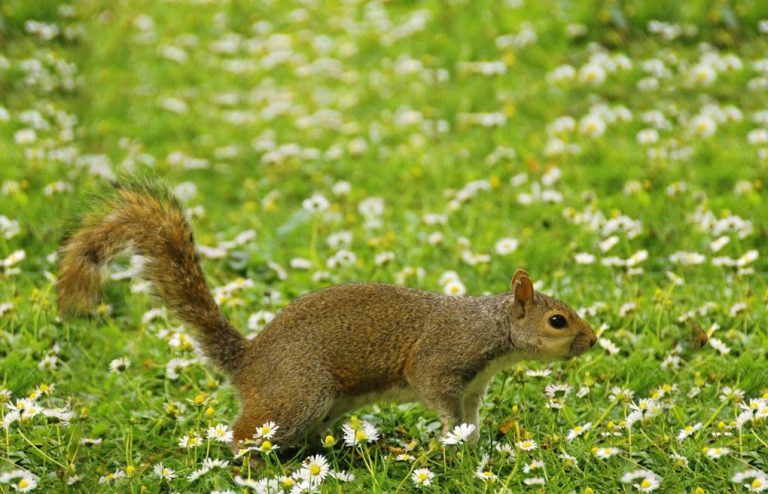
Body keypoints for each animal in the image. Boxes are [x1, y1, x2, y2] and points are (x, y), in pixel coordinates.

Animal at [58, 178, 600, 448]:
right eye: (557, 321)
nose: (594, 341)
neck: (490, 327)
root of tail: (247, 361)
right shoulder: (441, 364)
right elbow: (440, 402)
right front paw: (453, 447)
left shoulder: (472, 387)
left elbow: (469, 419)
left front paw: (473, 447)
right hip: (299, 395)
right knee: (244, 434)